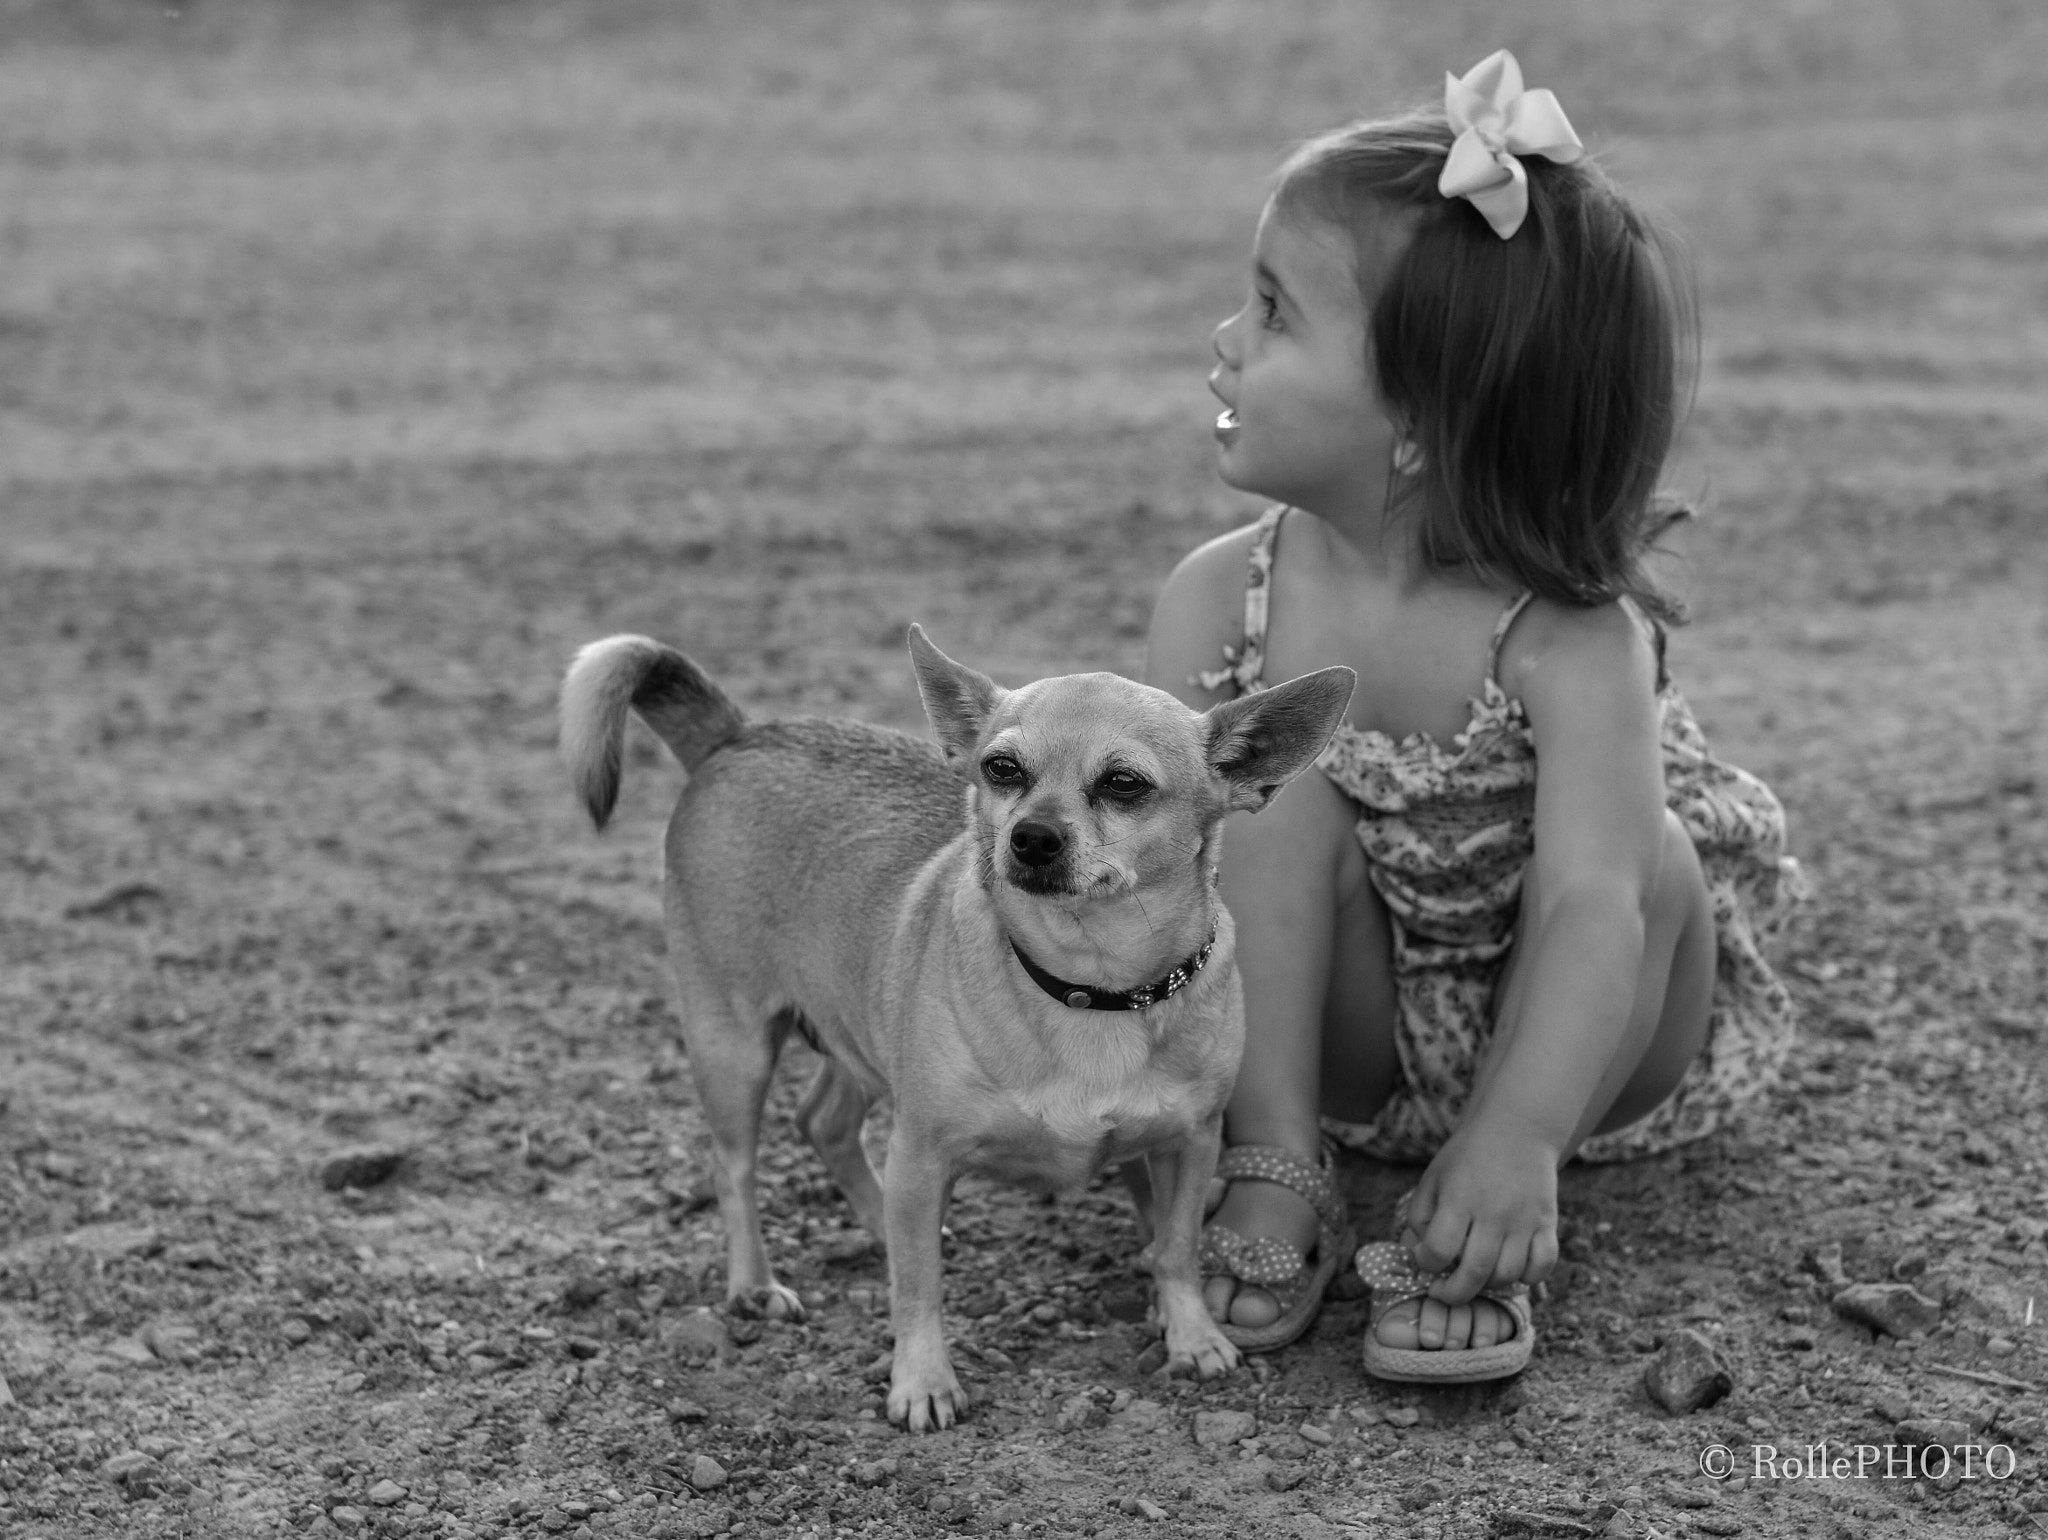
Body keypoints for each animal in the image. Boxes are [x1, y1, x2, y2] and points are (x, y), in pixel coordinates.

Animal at [565, 626, 1359, 1433]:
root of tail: (739, 733)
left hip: (859, 1034)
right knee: (734, 1167)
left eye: (1125, 784)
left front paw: (1191, 1335)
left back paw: (879, 1225)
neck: (1090, 986)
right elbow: (919, 1290)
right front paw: (921, 1381)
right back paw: (755, 1284)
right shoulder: (923, 1149)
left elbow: (1177, 1247)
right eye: (1001, 769)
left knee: (823, 1122)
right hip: (735, 1047)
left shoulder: (1189, 1143)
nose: (1031, 836)